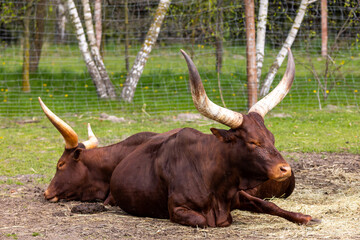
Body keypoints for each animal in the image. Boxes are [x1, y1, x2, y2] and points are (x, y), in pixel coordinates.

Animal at [110, 49, 320, 227]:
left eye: (272, 138)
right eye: (252, 142)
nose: (285, 169)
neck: (215, 181)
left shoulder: (240, 195)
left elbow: (270, 205)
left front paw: (306, 217)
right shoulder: (177, 209)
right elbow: (203, 220)